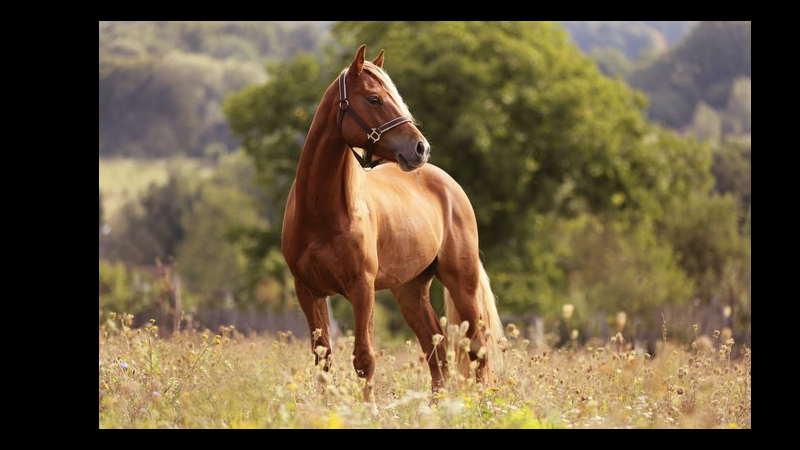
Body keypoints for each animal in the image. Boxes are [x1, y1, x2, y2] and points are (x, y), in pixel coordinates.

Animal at [281, 45, 503, 400]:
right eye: (374, 99)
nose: (420, 148)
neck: (321, 213)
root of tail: (448, 184)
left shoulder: (362, 288)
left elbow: (364, 358)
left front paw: (367, 407)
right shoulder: (308, 291)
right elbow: (323, 359)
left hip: (461, 281)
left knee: (476, 348)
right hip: (410, 291)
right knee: (436, 351)